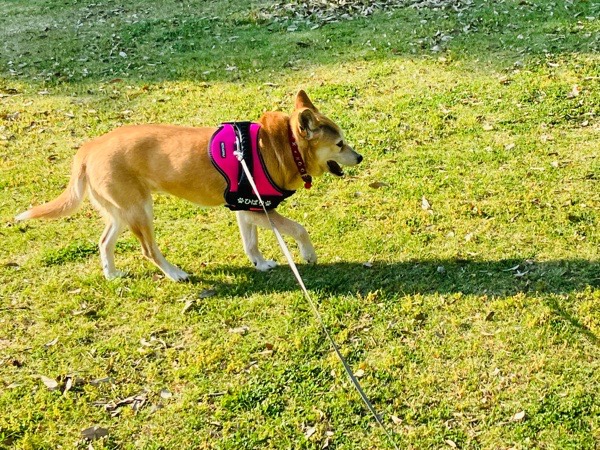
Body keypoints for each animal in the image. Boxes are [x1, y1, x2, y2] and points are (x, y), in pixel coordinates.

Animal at [15, 90, 363, 281]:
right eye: (340, 144)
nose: (359, 157)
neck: (283, 145)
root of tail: (90, 147)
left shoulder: (246, 210)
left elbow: (251, 244)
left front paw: (261, 263)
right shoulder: (260, 210)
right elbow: (299, 229)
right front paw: (308, 255)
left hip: (121, 212)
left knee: (103, 242)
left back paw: (112, 274)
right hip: (141, 211)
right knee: (148, 250)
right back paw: (174, 273)